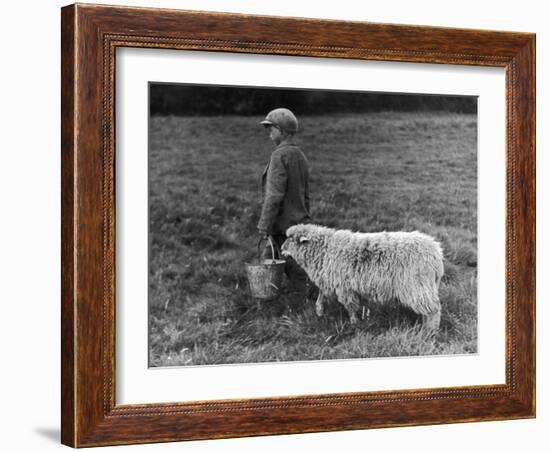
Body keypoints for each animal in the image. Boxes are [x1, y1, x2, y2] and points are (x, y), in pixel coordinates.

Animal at [282, 224, 446, 330]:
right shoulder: (329, 281)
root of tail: (436, 253)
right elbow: (322, 297)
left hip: (417, 285)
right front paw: (319, 312)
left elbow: (351, 306)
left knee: (434, 309)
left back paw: (430, 331)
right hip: (425, 286)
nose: (281, 249)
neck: (325, 249)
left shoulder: (344, 287)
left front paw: (354, 323)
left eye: (290, 239)